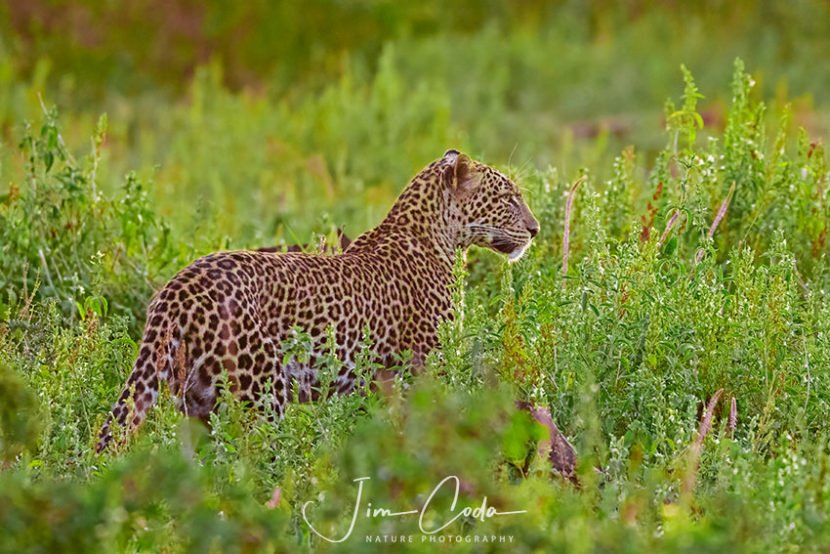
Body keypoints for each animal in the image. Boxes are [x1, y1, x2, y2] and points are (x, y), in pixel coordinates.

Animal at [96, 149, 540, 452]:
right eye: (508, 198)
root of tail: (179, 287)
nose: (535, 229)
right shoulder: (426, 371)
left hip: (196, 404)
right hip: (261, 396)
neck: (441, 239)